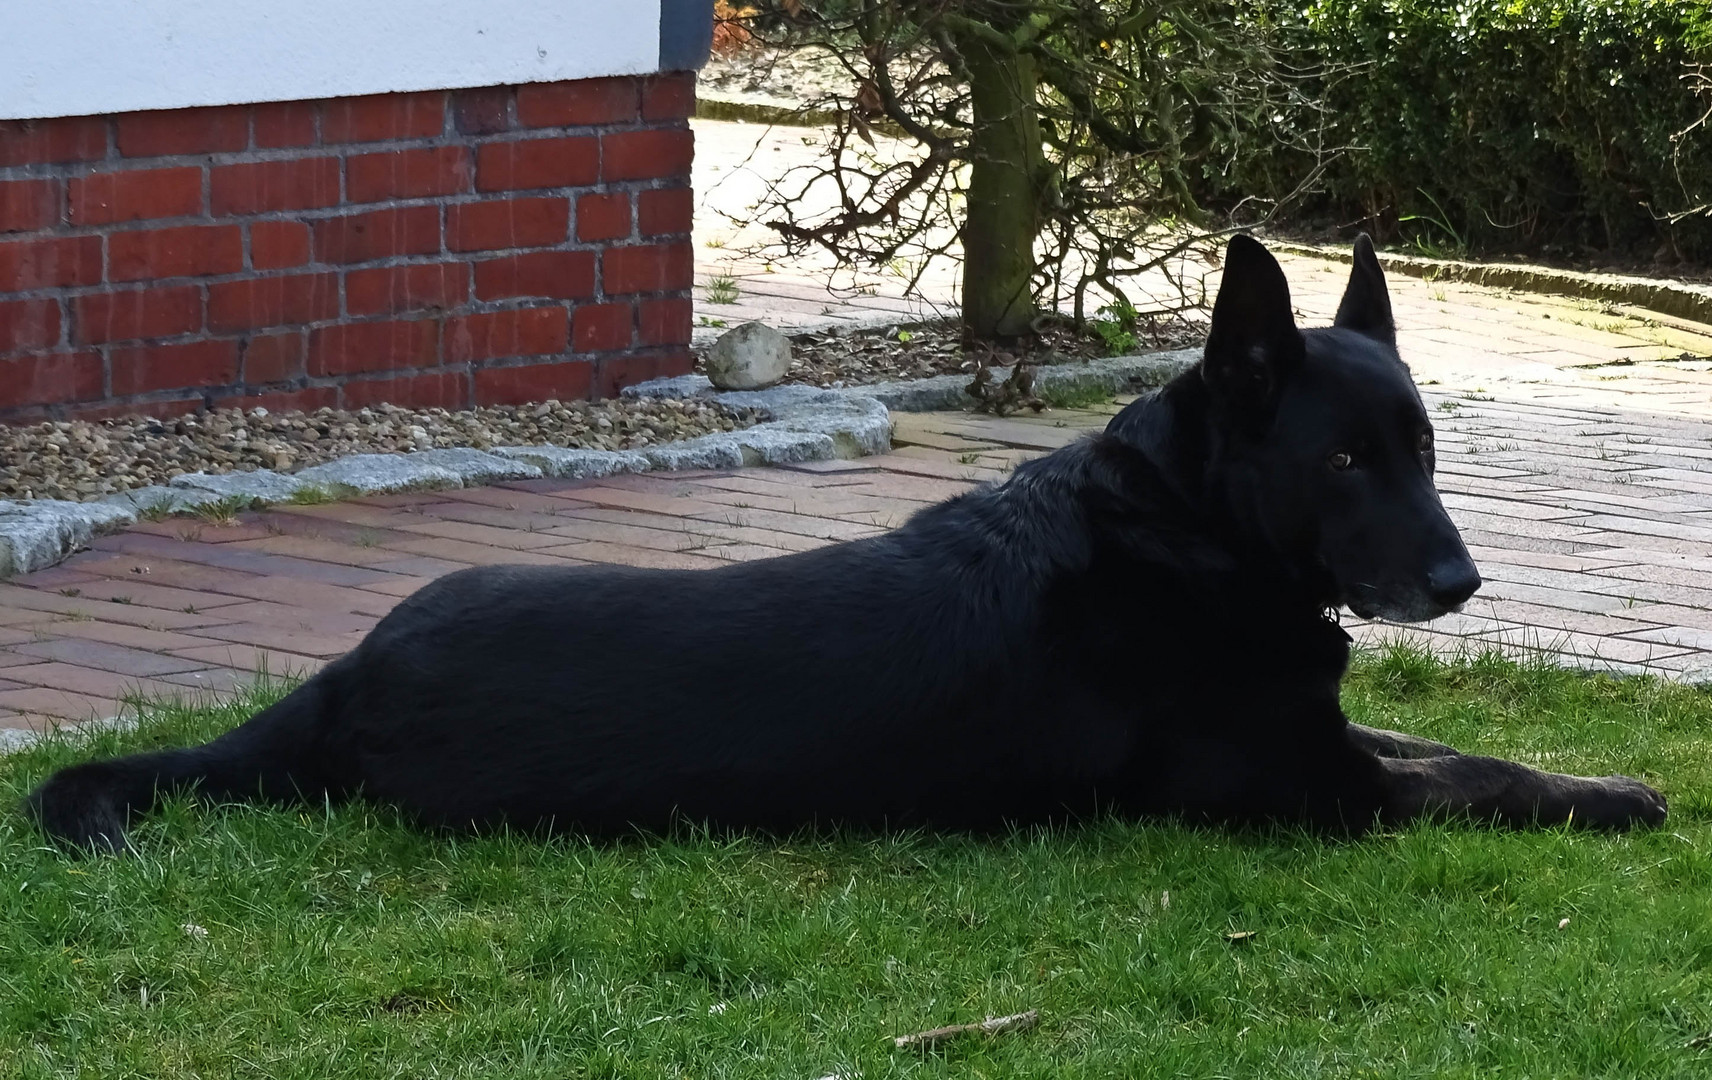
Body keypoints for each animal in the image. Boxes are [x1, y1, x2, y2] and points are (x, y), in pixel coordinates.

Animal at [26, 237, 1664, 852]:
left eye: (1424, 454)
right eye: (1340, 461)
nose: (1459, 582)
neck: (1184, 532)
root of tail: (346, 677)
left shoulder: (1325, 739)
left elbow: (1450, 745)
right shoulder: (1300, 794)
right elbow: (1474, 779)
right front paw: (1610, 794)